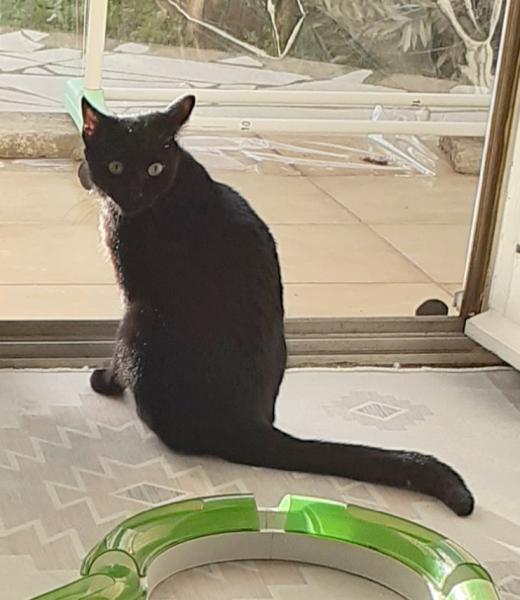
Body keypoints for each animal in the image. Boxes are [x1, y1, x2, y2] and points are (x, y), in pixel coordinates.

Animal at [81, 95, 474, 516]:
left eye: (154, 168)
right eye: (116, 166)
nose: (134, 195)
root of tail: (249, 424)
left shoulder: (131, 294)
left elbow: (116, 356)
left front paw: (105, 381)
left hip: (139, 321)